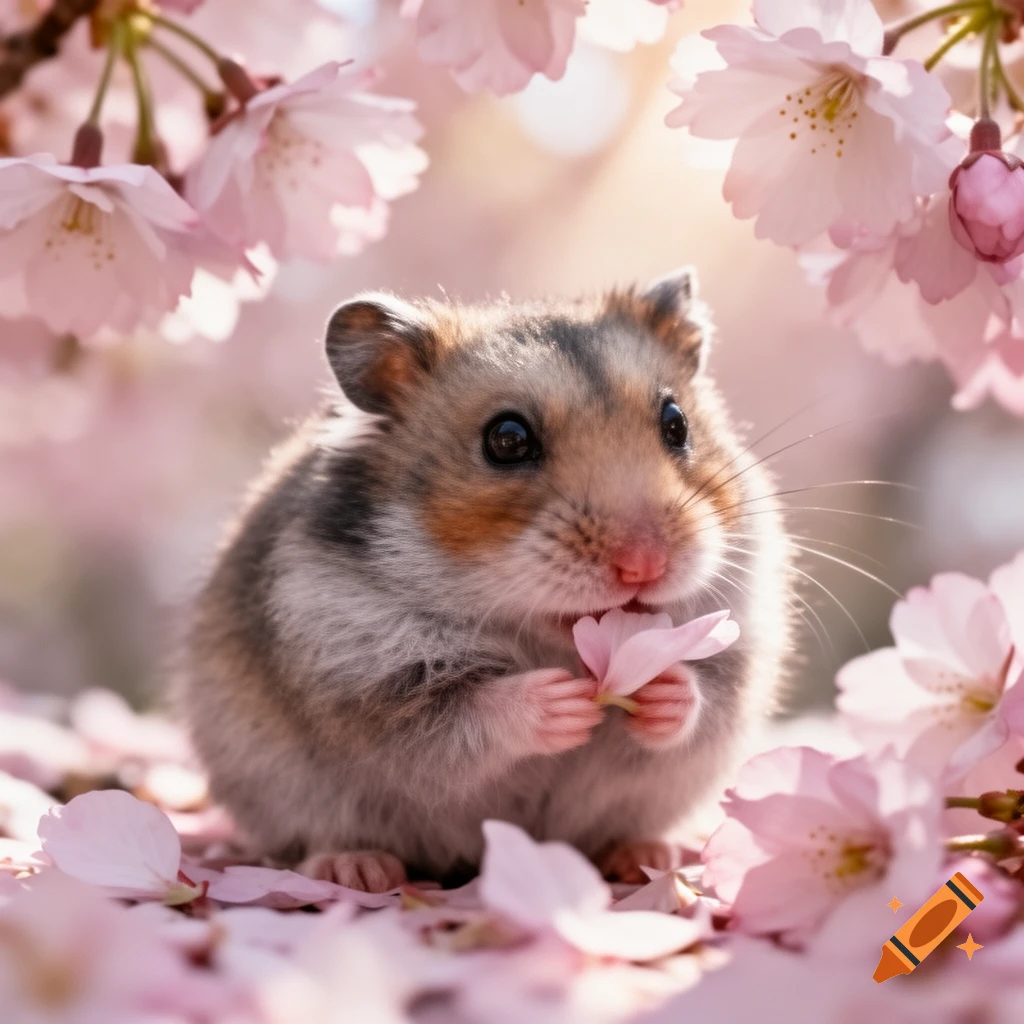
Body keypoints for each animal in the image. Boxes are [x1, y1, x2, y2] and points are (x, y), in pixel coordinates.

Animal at [182, 269, 792, 891]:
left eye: (677, 424)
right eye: (507, 440)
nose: (644, 565)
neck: (548, 640)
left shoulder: (735, 659)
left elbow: (696, 699)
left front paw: (659, 689)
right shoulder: (371, 687)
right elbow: (467, 714)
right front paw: (564, 701)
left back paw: (647, 856)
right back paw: (359, 870)